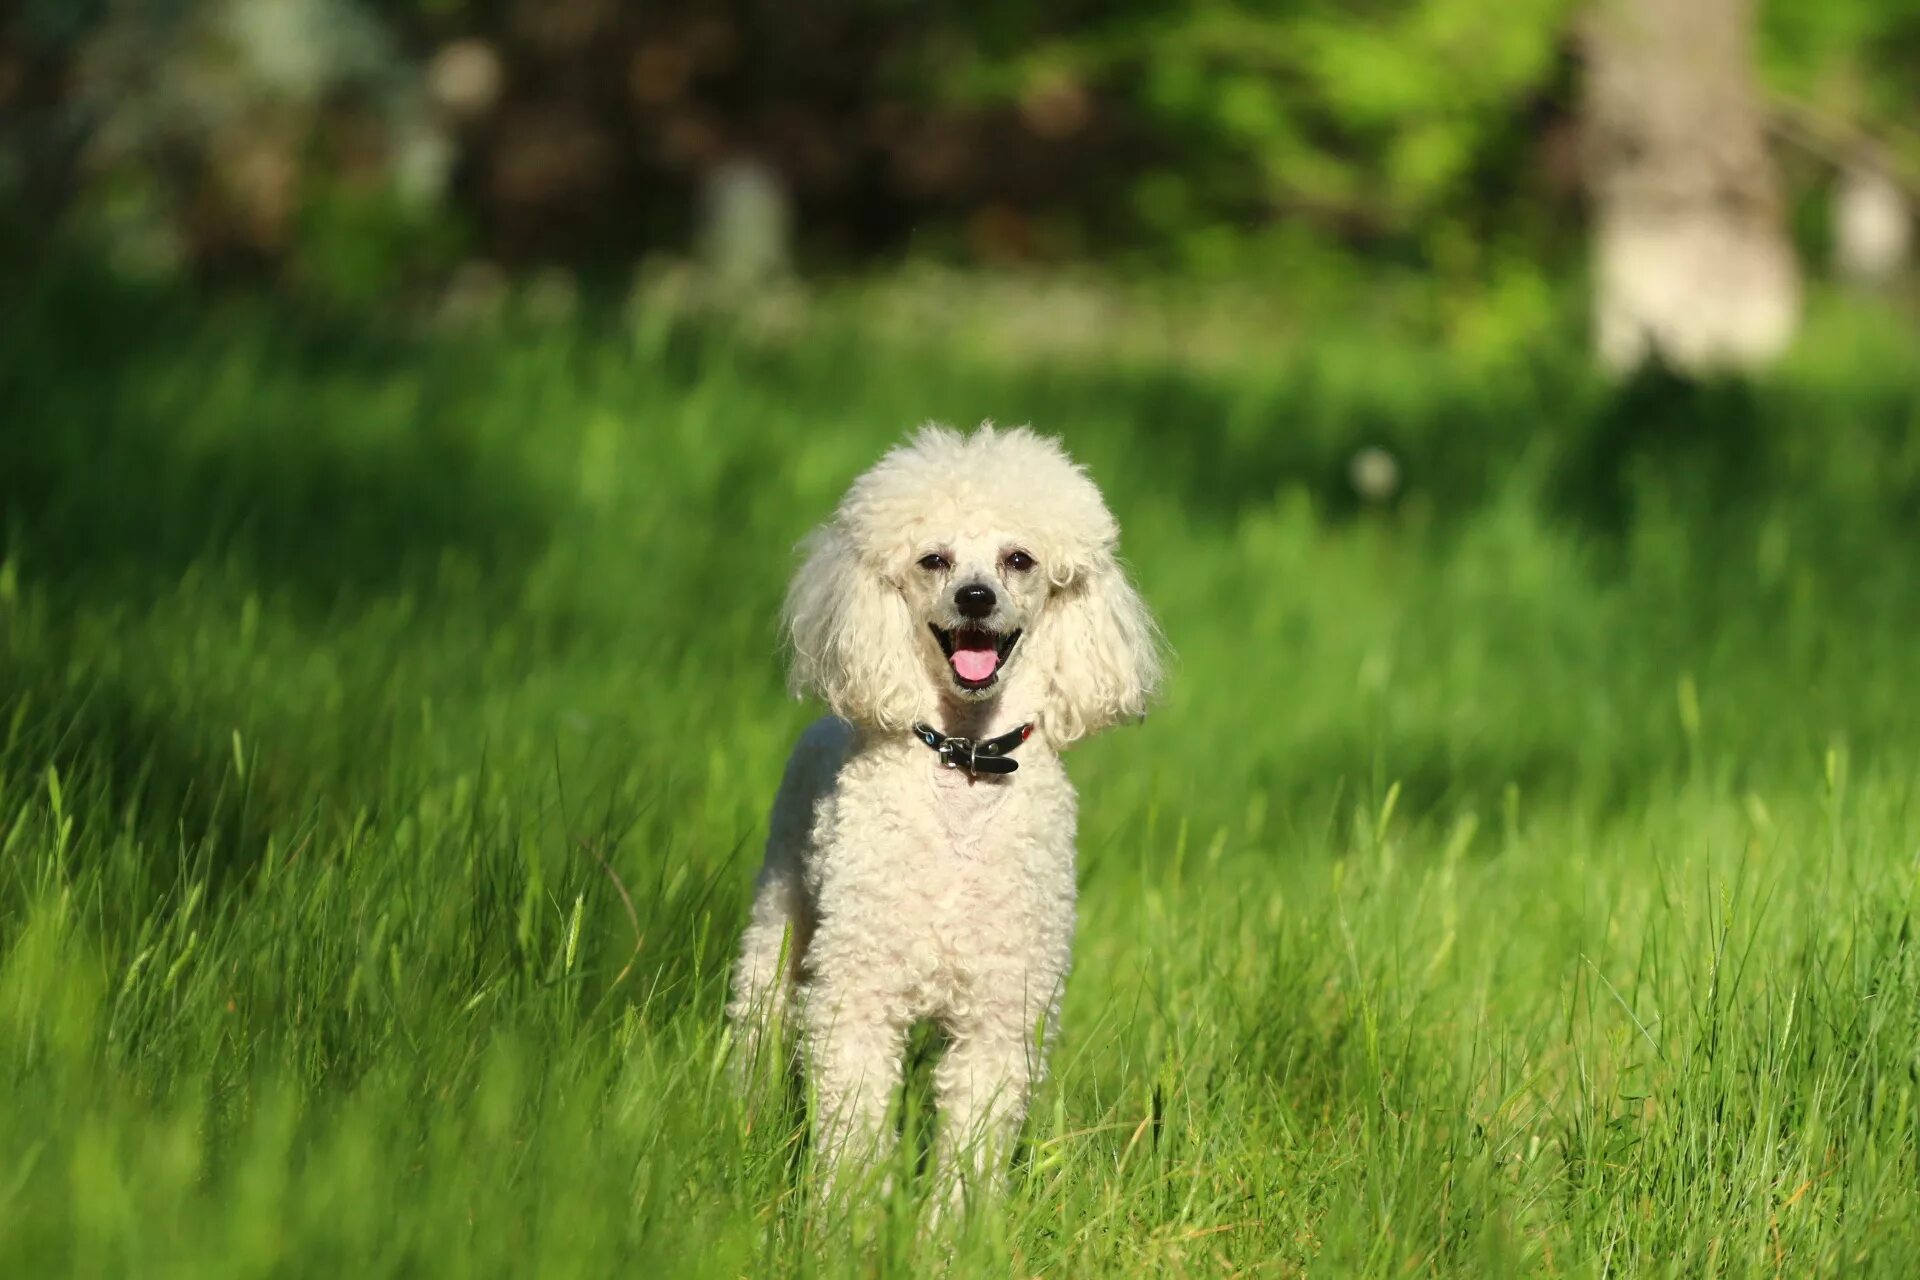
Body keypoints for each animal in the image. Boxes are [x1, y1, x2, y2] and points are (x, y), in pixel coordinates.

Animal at [725, 426, 1159, 1205]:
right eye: (935, 559)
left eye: (1019, 559)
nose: (976, 597)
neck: (965, 760)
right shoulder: (857, 997)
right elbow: (852, 1134)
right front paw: (848, 1220)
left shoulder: (1000, 1017)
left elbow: (973, 1150)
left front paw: (952, 1227)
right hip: (778, 921)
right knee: (757, 1017)